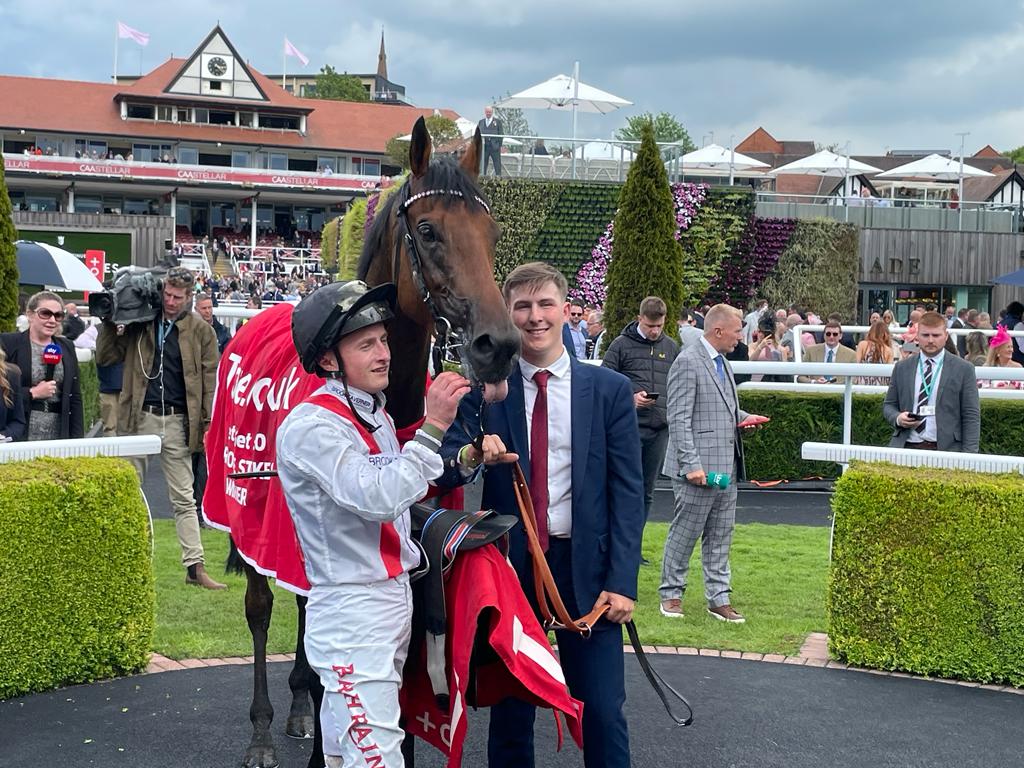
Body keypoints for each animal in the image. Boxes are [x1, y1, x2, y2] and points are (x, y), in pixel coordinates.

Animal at [225, 115, 520, 768]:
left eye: (492, 232)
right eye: (429, 230)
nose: (500, 345)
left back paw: (297, 709)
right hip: (246, 517)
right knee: (262, 609)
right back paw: (261, 730)